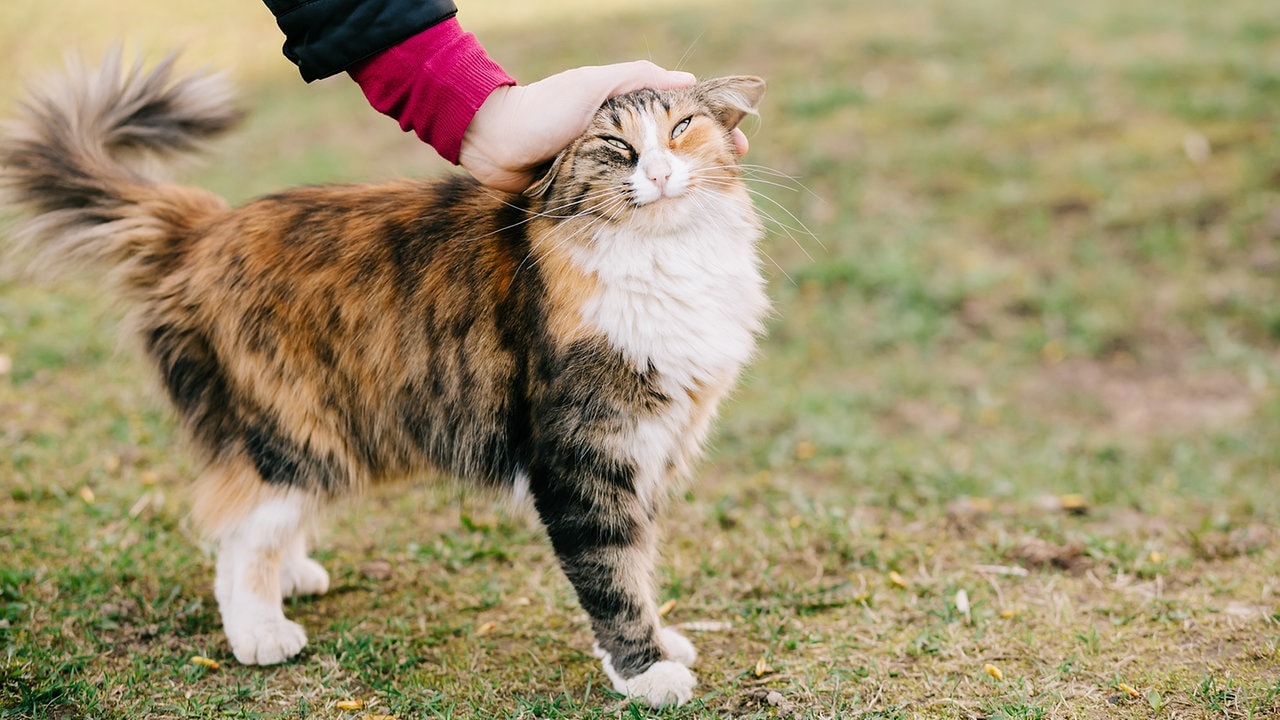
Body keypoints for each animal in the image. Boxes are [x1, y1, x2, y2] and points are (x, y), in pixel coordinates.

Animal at [0, 54, 762, 707]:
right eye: (612, 144)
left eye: (681, 128)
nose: (657, 172)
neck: (663, 260)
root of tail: (210, 227)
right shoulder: (583, 458)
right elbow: (611, 575)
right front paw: (645, 672)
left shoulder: (655, 446)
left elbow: (641, 562)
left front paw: (661, 644)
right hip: (299, 433)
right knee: (238, 535)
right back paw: (260, 630)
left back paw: (292, 576)